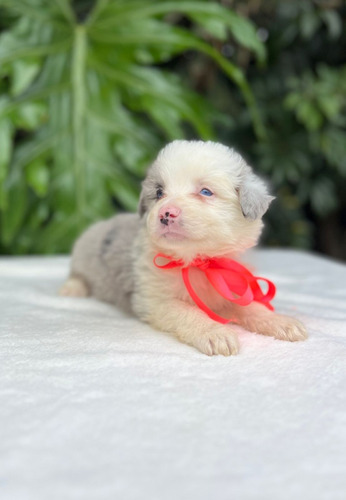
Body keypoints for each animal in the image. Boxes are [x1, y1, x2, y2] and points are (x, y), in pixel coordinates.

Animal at [60, 139, 306, 354]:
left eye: (205, 191)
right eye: (159, 192)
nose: (166, 213)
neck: (201, 262)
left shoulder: (231, 285)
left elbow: (252, 306)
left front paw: (281, 322)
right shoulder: (156, 300)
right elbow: (189, 312)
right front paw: (216, 334)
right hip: (83, 256)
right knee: (77, 275)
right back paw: (72, 288)